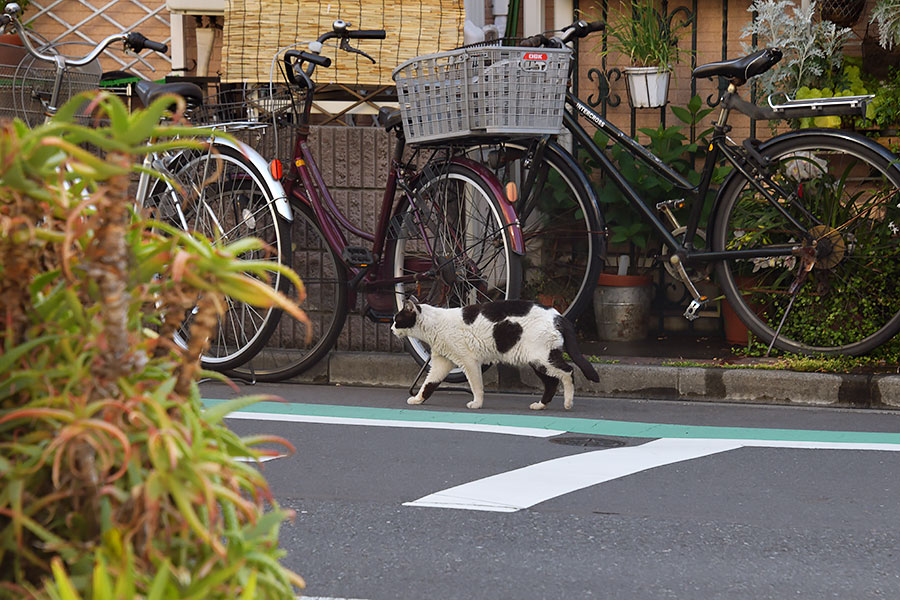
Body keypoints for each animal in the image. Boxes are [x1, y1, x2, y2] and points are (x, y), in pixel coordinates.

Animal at [392, 298, 596, 410]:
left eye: (397, 319)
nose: (391, 328)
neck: (434, 326)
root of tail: (558, 315)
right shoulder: (442, 363)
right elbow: (429, 384)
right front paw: (418, 399)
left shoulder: (469, 361)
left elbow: (476, 386)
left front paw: (477, 403)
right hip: (537, 361)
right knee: (552, 382)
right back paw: (541, 405)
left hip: (543, 357)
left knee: (568, 371)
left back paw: (568, 402)